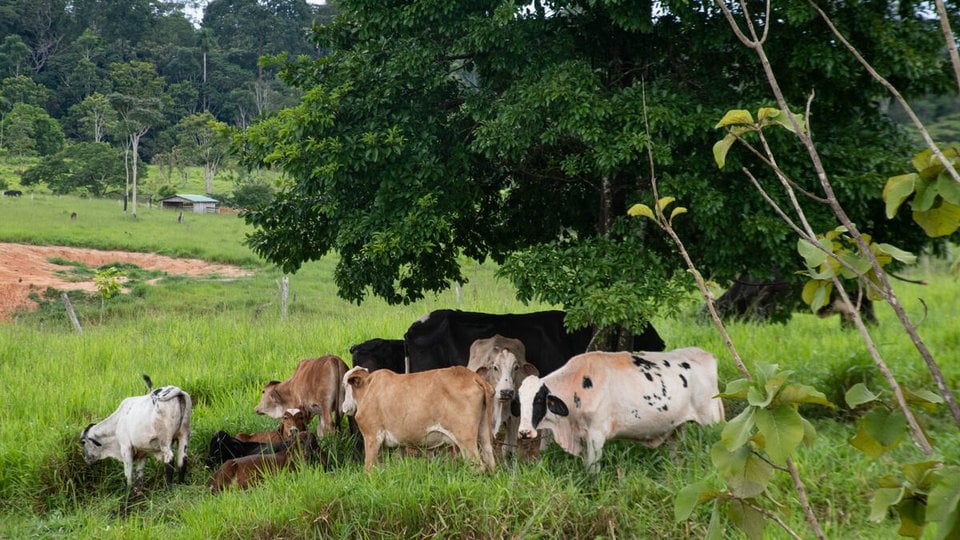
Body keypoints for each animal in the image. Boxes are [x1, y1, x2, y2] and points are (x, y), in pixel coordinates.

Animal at [341, 365, 497, 472]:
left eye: (345, 385)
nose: (344, 407)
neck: (368, 389)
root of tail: (472, 375)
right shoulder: (397, 444)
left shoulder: (372, 436)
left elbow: (368, 469)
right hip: (483, 431)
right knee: (490, 458)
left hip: (465, 437)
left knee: (477, 466)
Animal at [515, 347, 724, 472]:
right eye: (520, 402)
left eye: (539, 400)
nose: (524, 432)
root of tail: (706, 355)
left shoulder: (597, 434)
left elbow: (593, 470)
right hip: (676, 427)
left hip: (711, 421)